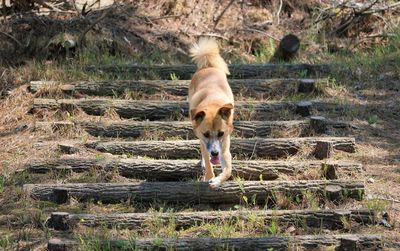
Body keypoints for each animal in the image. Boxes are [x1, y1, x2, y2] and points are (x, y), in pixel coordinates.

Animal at [188, 37, 234, 188]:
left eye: (220, 133)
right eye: (206, 134)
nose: (214, 153)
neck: (212, 102)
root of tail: (207, 66)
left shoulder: (224, 144)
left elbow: (228, 169)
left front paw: (218, 180)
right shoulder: (203, 139)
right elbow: (208, 161)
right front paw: (209, 176)